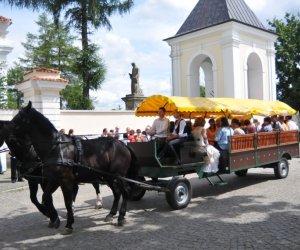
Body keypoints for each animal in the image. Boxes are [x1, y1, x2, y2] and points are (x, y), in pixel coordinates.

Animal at [10, 102, 139, 234]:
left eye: (18, 118)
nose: (7, 129)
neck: (56, 149)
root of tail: (123, 144)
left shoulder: (65, 181)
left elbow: (67, 202)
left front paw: (68, 224)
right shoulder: (53, 180)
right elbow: (46, 197)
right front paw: (53, 217)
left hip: (119, 176)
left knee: (125, 192)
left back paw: (121, 217)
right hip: (109, 177)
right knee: (117, 193)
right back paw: (111, 214)